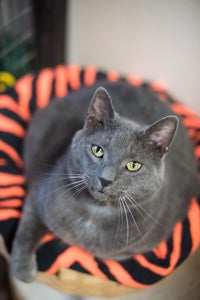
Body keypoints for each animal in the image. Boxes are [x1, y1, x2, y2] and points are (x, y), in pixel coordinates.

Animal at [9, 80, 198, 282]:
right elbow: (27, 227)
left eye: (133, 165)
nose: (105, 179)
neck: (94, 212)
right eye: (97, 150)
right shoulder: (39, 192)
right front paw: (22, 270)